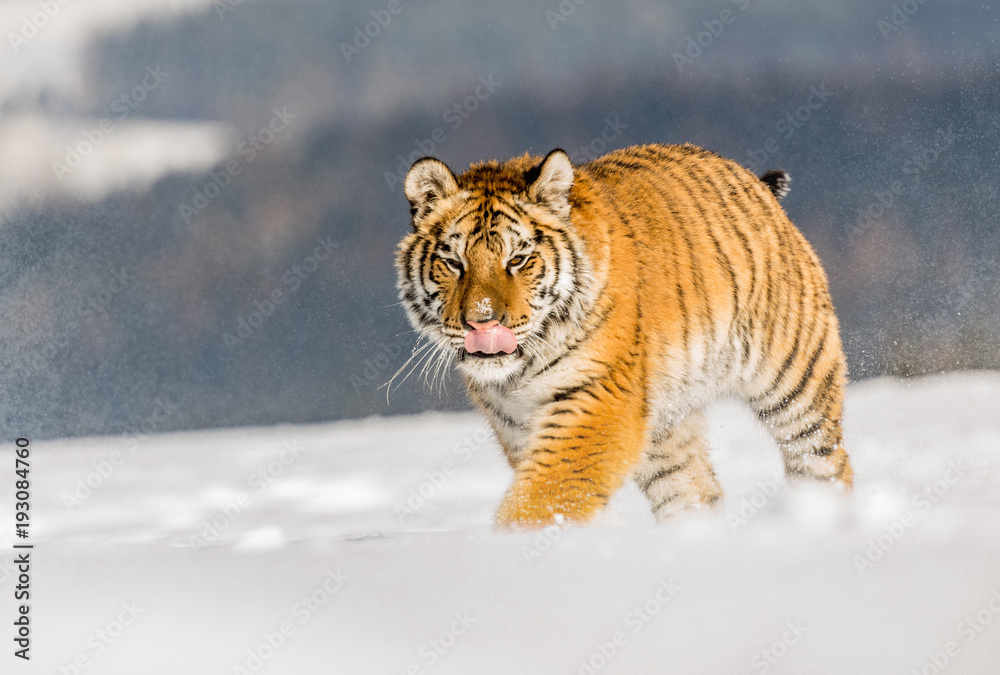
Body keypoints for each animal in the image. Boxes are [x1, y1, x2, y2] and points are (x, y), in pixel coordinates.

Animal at [396, 143, 853, 529]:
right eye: (454, 263)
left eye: (519, 260)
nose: (482, 322)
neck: (517, 374)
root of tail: (754, 183)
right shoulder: (515, 423)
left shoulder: (597, 397)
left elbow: (544, 495)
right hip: (669, 424)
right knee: (694, 490)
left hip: (795, 380)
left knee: (824, 461)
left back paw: (818, 517)